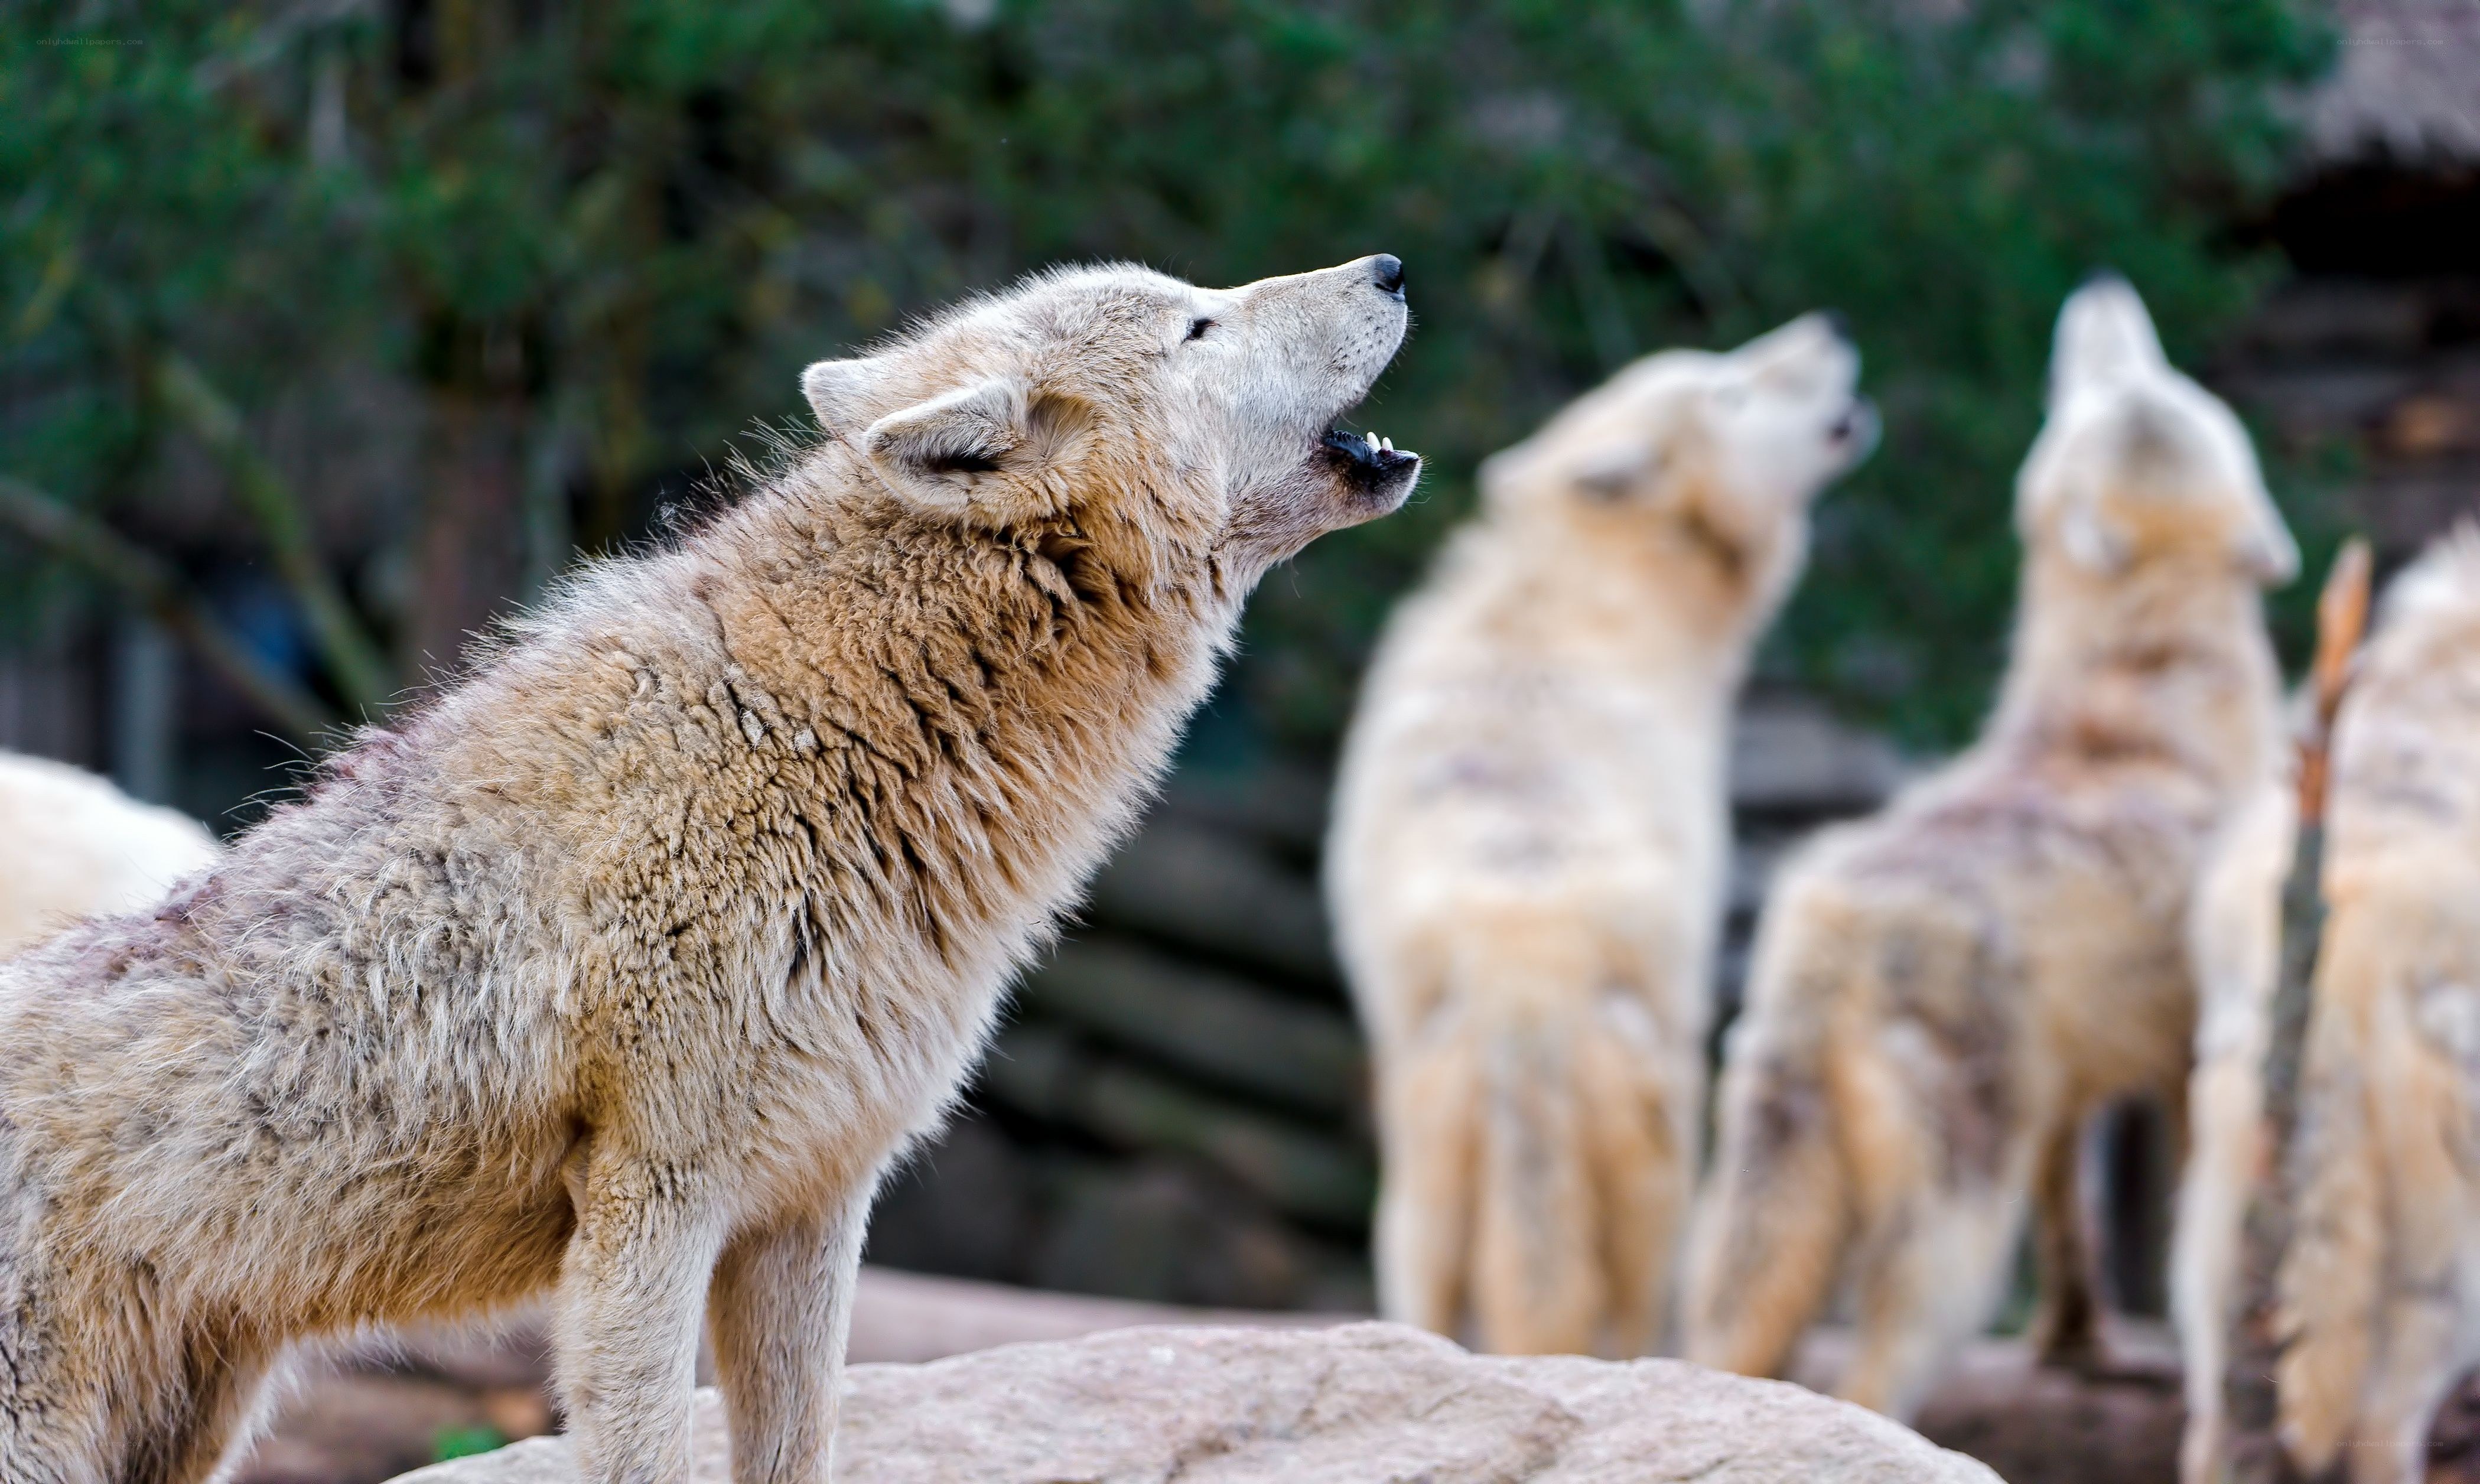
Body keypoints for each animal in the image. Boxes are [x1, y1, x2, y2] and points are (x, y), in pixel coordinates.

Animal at [0, 255, 1419, 1484]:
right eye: (1198, 325)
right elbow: (641, 1450)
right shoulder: (651, 1203)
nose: (1392, 266)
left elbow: (798, 1449)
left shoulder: (813, 1203)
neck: (817, 739)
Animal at [1328, 315, 1875, 1356]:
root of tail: (1523, 992)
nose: (1829, 328)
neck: (1585, 590)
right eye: (1731, 390)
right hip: (1664, 1164)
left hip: (1413, 1204)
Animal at [1680, 277, 2297, 1423]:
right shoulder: (2181, 1062)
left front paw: (2079, 1351)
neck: (2139, 711)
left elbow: (2075, 1243)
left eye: (2144, 381)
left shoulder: (2070, 1095)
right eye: (2108, 390)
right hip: (1951, 1242)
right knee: (1877, 1377)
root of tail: (1829, 932)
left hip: (1765, 1216)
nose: (2101, 286)